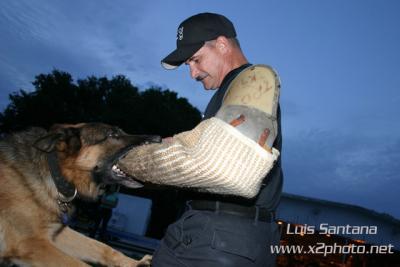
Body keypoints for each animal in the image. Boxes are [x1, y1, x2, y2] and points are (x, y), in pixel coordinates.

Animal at [0, 123, 159, 266]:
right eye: (112, 134)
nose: (158, 138)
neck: (56, 173)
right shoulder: (30, 242)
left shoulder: (55, 235)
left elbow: (102, 247)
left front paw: (135, 263)